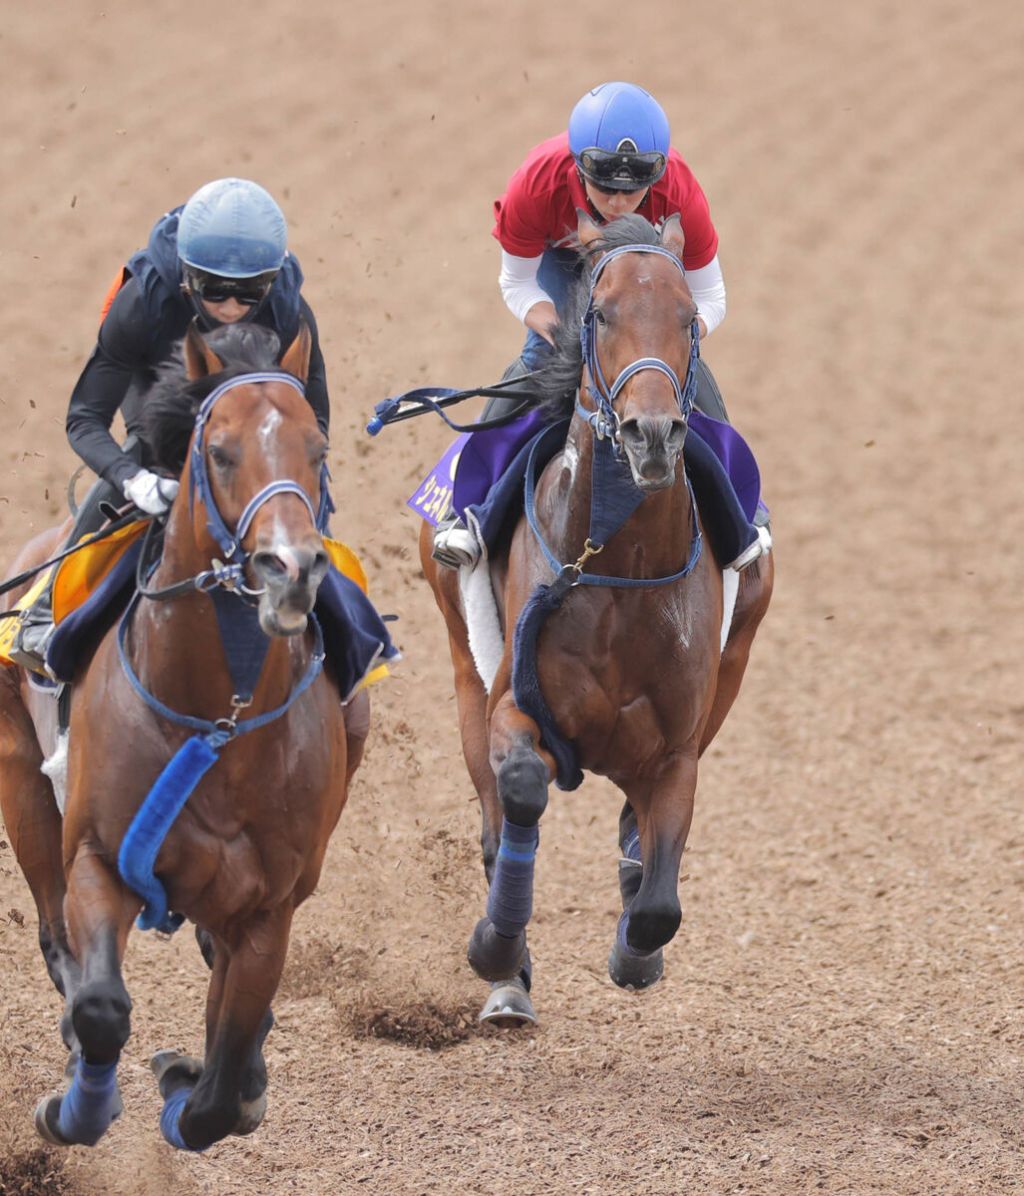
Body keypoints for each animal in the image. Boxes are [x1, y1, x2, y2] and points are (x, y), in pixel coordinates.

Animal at [0, 321, 377, 1151]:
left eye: (317, 448)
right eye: (221, 452)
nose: (290, 569)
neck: (217, 722)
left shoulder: (268, 906)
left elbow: (223, 1079)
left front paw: (193, 1080)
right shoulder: (100, 857)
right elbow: (101, 1008)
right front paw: (72, 1110)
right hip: (22, 787)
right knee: (55, 940)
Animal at [419, 211, 774, 1026]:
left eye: (688, 317)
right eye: (601, 314)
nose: (653, 433)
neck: (622, 566)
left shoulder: (677, 750)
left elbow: (658, 903)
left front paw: (636, 952)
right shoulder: (517, 706)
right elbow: (520, 789)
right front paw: (496, 951)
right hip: (463, 672)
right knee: (495, 823)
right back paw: (508, 982)